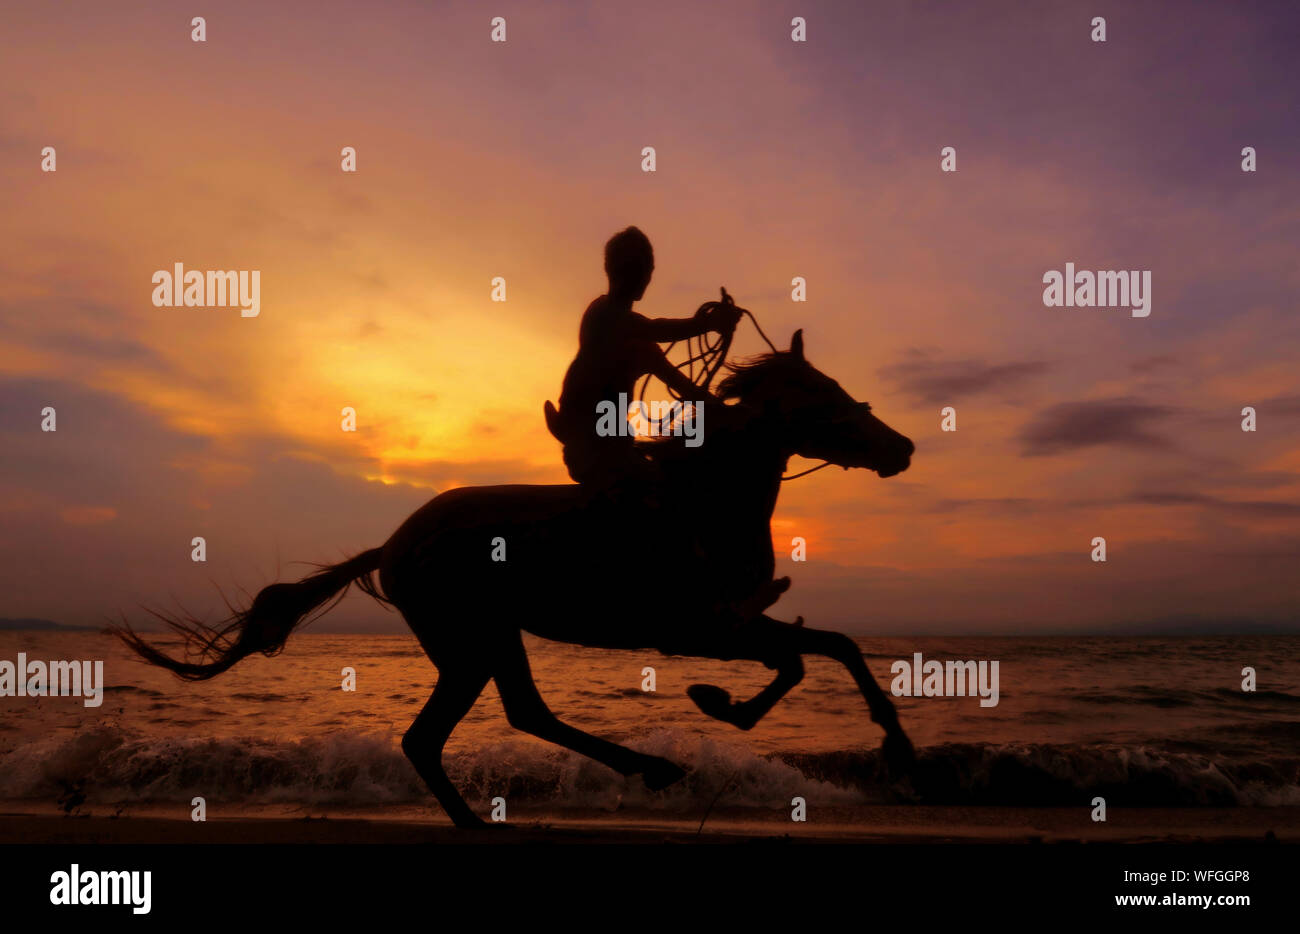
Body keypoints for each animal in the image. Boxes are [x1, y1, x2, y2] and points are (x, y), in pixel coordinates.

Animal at [116, 333, 920, 832]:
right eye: (824, 396)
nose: (904, 448)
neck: (708, 501)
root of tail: (393, 544)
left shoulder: (733, 620)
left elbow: (837, 645)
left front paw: (898, 746)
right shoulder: (702, 627)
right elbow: (795, 663)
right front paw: (717, 702)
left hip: (489, 638)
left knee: (513, 715)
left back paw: (627, 776)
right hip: (470, 640)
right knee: (440, 733)